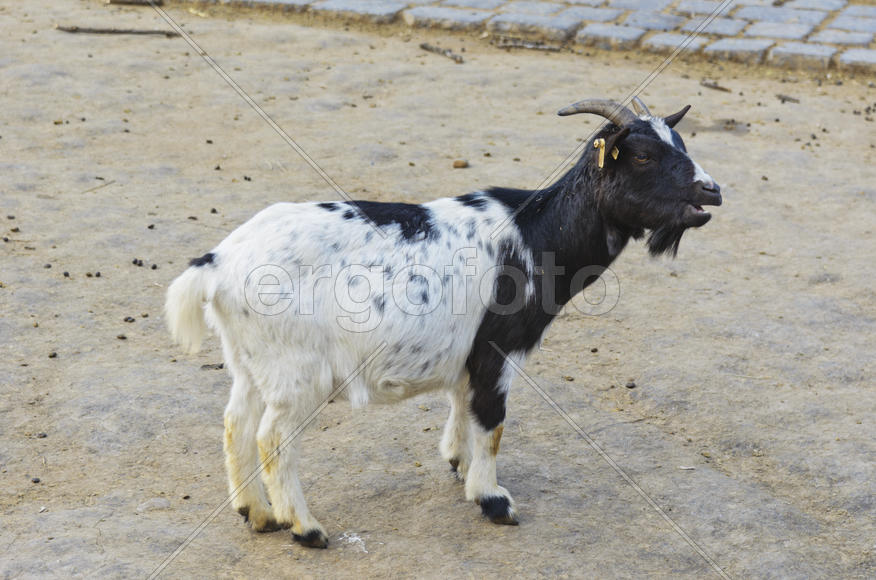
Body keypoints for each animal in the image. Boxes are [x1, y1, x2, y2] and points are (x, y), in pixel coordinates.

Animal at [166, 97, 721, 548]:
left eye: (681, 143)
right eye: (643, 155)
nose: (711, 191)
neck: (537, 232)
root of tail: (218, 263)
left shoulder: (468, 353)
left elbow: (462, 403)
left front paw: (458, 464)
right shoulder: (499, 349)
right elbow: (493, 421)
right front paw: (494, 500)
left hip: (248, 361)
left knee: (236, 423)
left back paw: (257, 514)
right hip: (295, 369)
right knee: (273, 437)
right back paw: (306, 528)